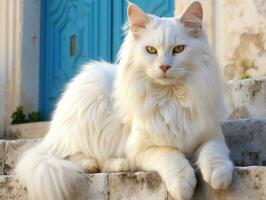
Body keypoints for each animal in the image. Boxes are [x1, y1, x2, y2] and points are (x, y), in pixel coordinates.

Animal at [16, 1, 233, 200]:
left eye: (179, 49)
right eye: (151, 50)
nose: (164, 67)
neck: (170, 97)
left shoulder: (210, 135)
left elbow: (215, 154)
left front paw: (219, 178)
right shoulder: (142, 147)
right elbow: (171, 157)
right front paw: (183, 186)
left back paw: (120, 164)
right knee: (70, 155)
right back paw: (94, 165)